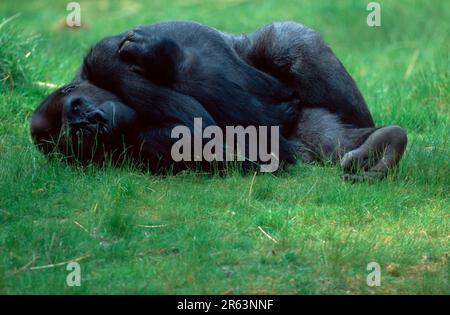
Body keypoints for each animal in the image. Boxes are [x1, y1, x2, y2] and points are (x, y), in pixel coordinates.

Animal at [28, 20, 408, 180]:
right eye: (75, 134)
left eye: (76, 107)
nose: (90, 121)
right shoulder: (138, 149)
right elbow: (199, 135)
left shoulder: (104, 58)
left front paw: (158, 54)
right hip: (304, 136)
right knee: (320, 138)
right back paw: (382, 145)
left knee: (287, 41)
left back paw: (378, 139)